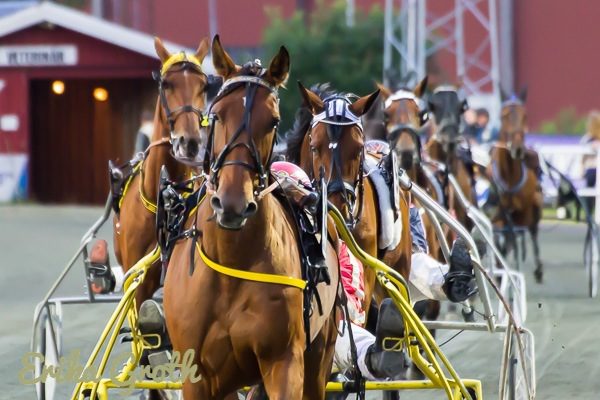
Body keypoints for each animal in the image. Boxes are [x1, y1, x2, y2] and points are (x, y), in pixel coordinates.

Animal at [164, 36, 340, 398]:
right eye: (216, 116)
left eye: (272, 121)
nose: (232, 204)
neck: (232, 261)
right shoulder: (197, 373)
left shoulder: (284, 361)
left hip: (321, 349)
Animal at [488, 91, 544, 282]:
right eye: (504, 116)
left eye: (524, 115)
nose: (518, 148)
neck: (510, 177)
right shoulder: (498, 214)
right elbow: (499, 238)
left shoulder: (524, 212)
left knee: (533, 232)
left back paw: (538, 269)